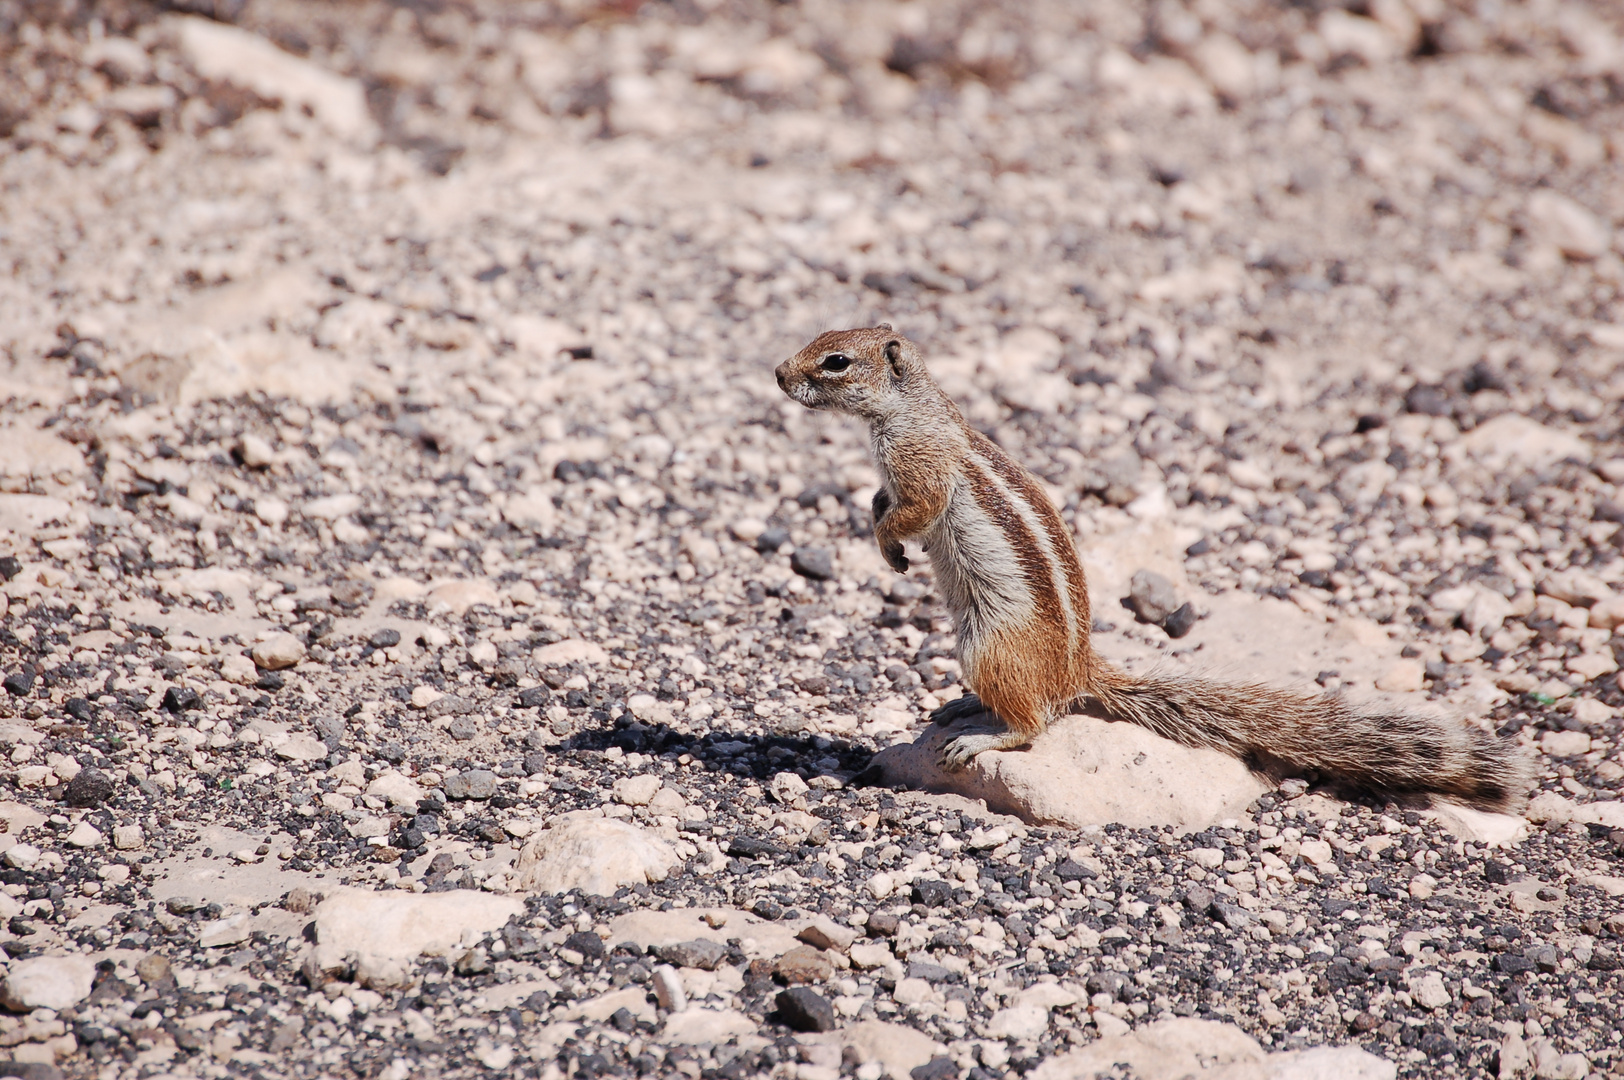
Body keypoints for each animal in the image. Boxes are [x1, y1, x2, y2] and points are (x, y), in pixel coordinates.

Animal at [779, 324, 1526, 812]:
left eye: (836, 361)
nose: (779, 374)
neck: (910, 409)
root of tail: (1080, 670)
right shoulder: (894, 474)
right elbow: (881, 504)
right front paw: (880, 537)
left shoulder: (921, 470)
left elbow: (912, 510)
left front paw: (890, 547)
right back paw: (963, 706)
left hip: (990, 647)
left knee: (1036, 722)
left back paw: (984, 736)